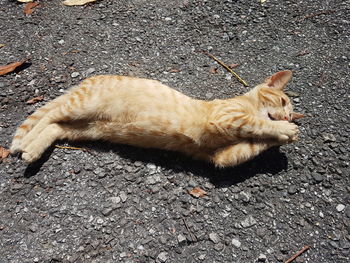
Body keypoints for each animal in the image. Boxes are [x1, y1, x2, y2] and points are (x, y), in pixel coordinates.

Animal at [10, 70, 304, 168]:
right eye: (283, 102)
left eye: (290, 109)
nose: (289, 115)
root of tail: (90, 78)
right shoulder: (227, 117)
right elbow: (259, 124)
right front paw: (283, 128)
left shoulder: (224, 157)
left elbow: (255, 143)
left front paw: (286, 133)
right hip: (81, 106)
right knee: (47, 115)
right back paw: (24, 143)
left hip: (86, 129)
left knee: (55, 127)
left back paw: (33, 150)